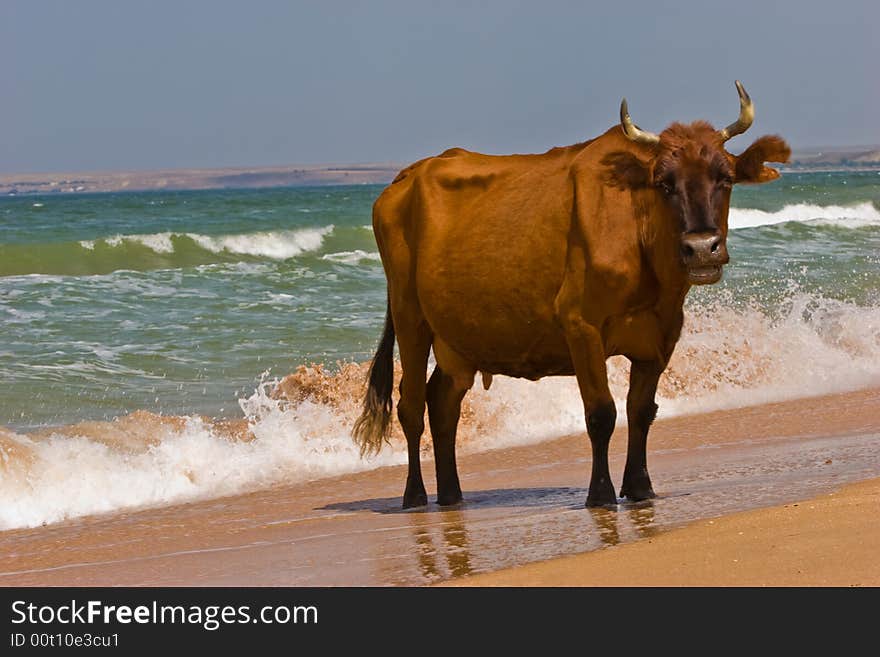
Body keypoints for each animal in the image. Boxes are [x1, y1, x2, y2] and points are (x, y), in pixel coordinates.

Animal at [350, 82, 792, 510]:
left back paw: (452, 495)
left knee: (443, 403)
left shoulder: (662, 334)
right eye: (664, 183)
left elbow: (641, 411)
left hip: (459, 340)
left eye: (725, 178)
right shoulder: (581, 324)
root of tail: (405, 177)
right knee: (410, 406)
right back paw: (414, 496)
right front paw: (601, 493)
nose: (701, 248)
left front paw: (640, 487)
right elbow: (601, 413)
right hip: (409, 316)